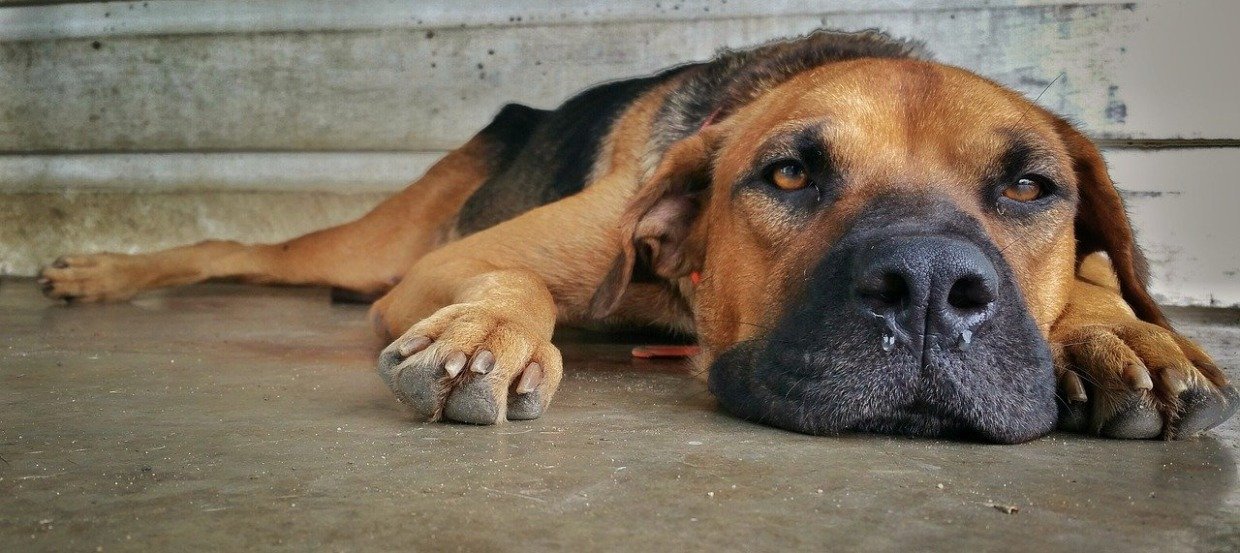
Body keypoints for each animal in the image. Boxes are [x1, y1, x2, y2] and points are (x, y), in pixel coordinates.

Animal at [36, 31, 1230, 443]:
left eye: (1028, 186)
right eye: (788, 172)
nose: (931, 288)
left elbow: (1100, 284)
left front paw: (1123, 333)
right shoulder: (444, 265)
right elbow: (507, 282)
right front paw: (485, 336)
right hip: (378, 245)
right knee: (237, 250)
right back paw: (97, 270)